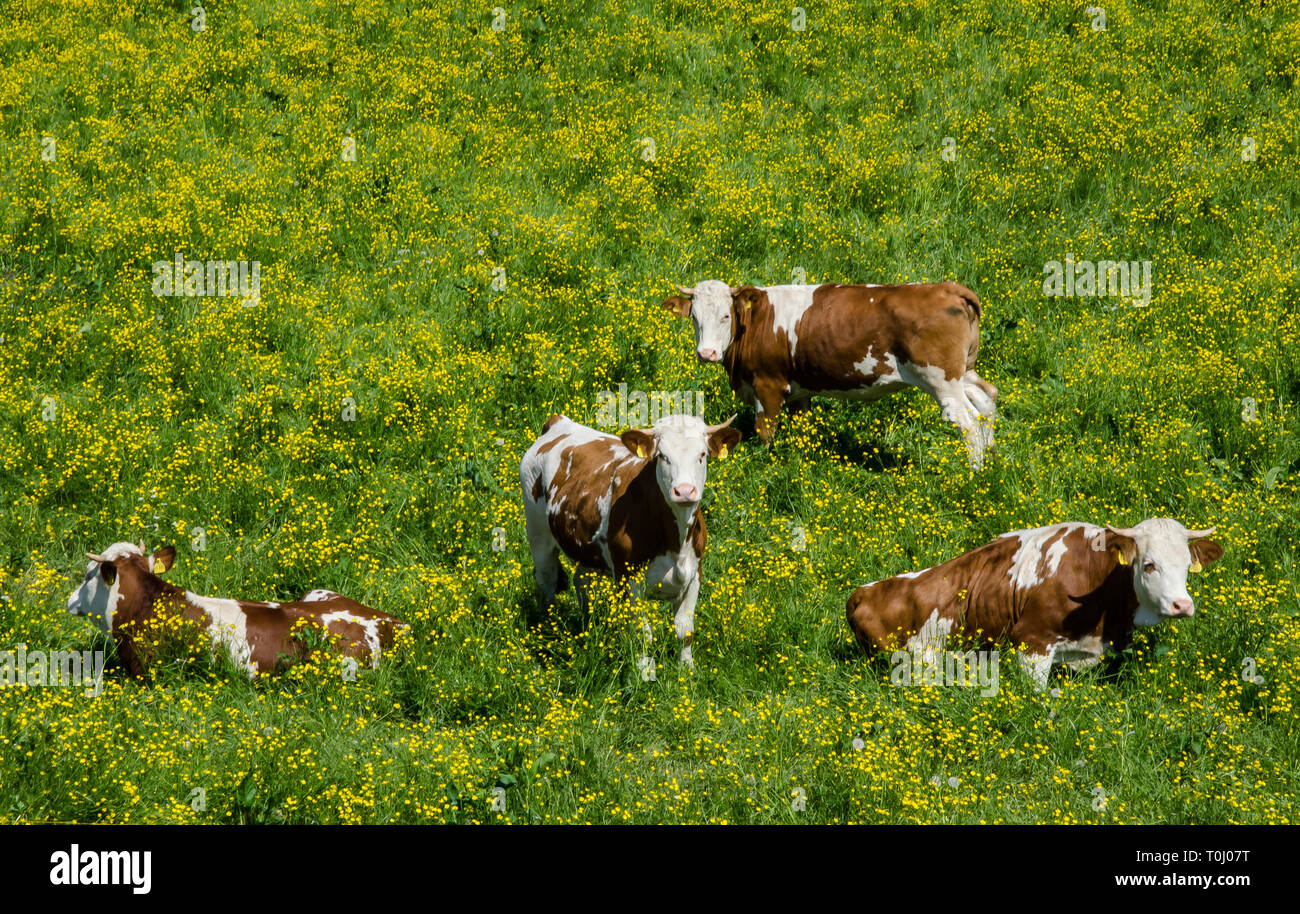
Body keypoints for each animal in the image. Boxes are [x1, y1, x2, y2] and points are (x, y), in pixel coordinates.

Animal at [517, 413, 743, 665]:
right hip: (538, 536)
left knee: (581, 579)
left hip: (587, 548)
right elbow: (642, 634)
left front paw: (687, 669)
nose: (684, 491)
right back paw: (551, 629)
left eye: (702, 455)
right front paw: (645, 670)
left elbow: (685, 630)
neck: (676, 543)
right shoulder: (628, 581)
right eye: (662, 456)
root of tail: (558, 422)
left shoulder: (694, 574)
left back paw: (589, 626)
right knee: (546, 583)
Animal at [665, 276, 998, 465]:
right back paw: (992, 462)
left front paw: (764, 464)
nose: (706, 354)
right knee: (987, 399)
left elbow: (765, 431)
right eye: (694, 317)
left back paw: (972, 472)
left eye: (726, 315)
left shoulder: (767, 385)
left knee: (968, 421)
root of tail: (948, 289)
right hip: (963, 373)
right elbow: (800, 429)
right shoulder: (799, 392)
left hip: (942, 381)